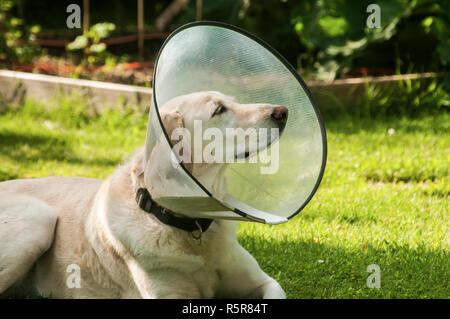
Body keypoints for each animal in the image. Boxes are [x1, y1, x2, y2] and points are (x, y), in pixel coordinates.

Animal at [0, 90, 288, 300]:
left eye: (234, 102)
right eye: (219, 110)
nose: (283, 112)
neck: (190, 228)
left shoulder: (265, 283)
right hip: (39, 219)